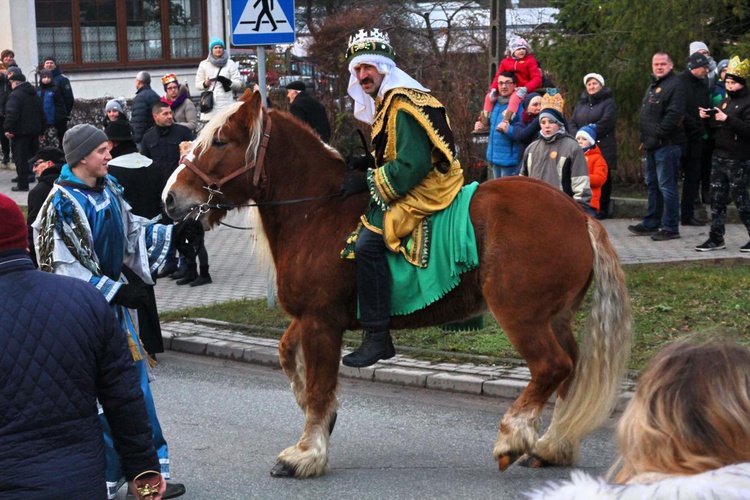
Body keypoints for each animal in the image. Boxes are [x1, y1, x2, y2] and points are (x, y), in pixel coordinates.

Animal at [164, 91, 636, 480]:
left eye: (220, 141)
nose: (170, 198)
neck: (317, 210)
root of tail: (579, 215)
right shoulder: (313, 317)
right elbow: (288, 359)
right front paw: (322, 421)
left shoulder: (321, 323)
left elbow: (318, 385)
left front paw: (307, 453)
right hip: (554, 317)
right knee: (570, 371)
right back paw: (552, 445)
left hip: (522, 315)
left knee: (552, 367)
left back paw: (513, 437)